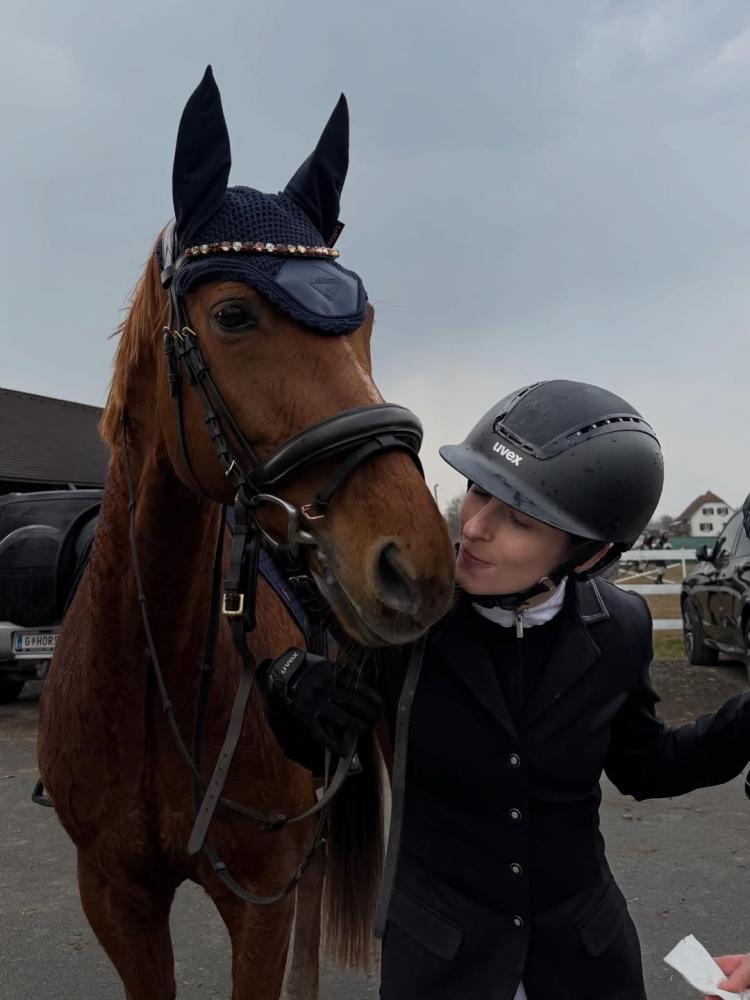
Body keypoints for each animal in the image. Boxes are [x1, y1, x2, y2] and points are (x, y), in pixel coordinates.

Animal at [37, 67, 455, 1000]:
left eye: (366, 322)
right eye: (233, 315)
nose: (416, 563)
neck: (146, 680)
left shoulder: (259, 900)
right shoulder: (115, 898)